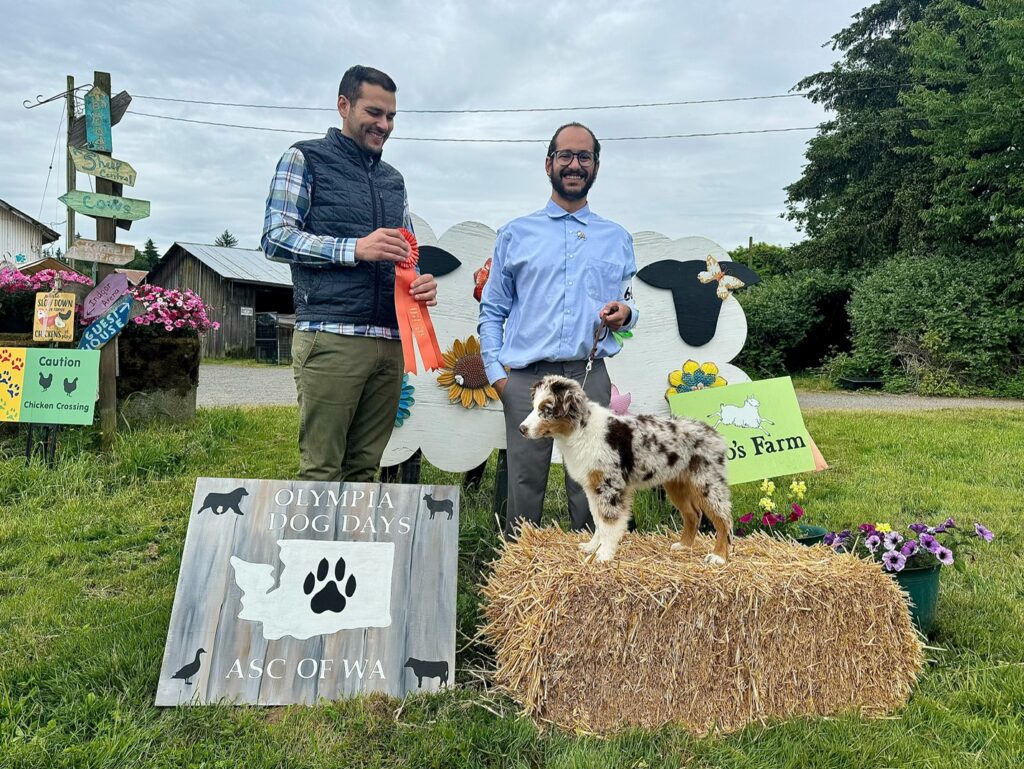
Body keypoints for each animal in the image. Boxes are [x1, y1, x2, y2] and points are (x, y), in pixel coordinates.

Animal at [524, 376, 733, 561]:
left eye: (547, 410)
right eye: (534, 407)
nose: (521, 429)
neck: (581, 430)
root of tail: (714, 432)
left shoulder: (610, 487)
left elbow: (608, 524)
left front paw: (602, 556)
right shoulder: (593, 487)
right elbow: (598, 522)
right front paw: (592, 548)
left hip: (707, 482)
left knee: (723, 519)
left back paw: (719, 556)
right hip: (677, 483)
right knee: (693, 514)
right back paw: (684, 546)